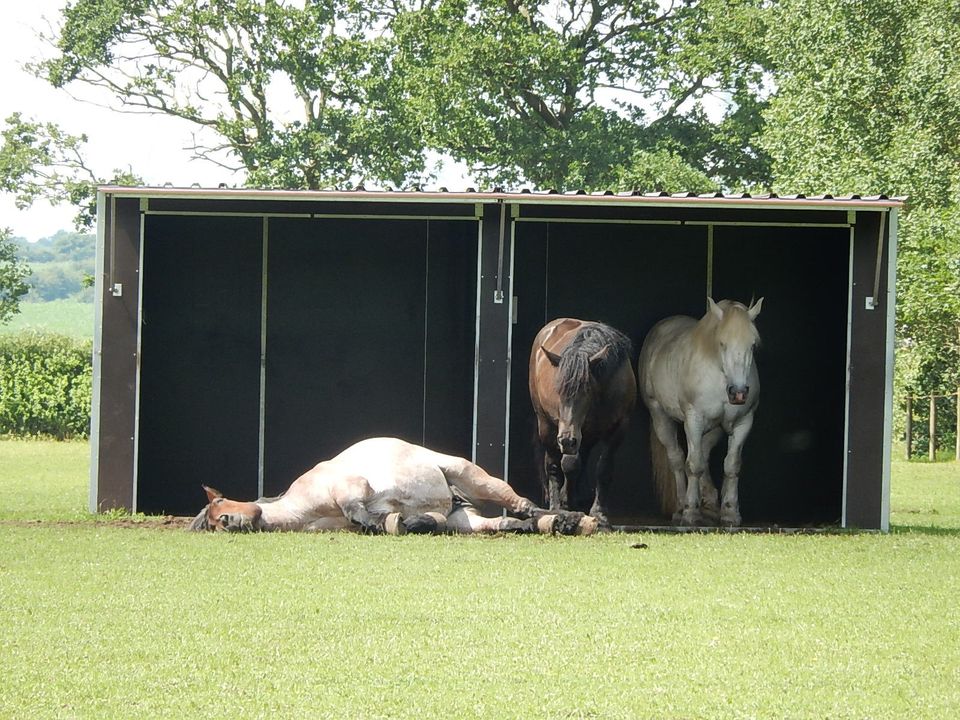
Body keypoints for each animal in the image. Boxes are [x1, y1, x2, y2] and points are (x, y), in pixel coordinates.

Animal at [188, 434, 596, 536]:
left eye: (219, 506)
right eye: (211, 524)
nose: (229, 522)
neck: (304, 507)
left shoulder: (349, 486)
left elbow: (358, 510)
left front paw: (385, 521)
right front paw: (400, 522)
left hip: (468, 474)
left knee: (523, 504)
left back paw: (573, 519)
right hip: (463, 519)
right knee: (502, 522)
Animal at [524, 318, 636, 524]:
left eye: (587, 390)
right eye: (558, 390)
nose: (566, 440)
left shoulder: (618, 429)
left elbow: (603, 468)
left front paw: (599, 513)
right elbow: (569, 465)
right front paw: (565, 503)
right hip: (547, 426)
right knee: (553, 465)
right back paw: (556, 506)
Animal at [636, 296, 764, 524]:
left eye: (752, 344)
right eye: (722, 343)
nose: (739, 393)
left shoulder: (743, 422)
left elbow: (732, 465)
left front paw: (730, 512)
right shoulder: (693, 420)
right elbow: (693, 465)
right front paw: (690, 512)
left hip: (715, 429)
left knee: (704, 453)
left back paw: (710, 505)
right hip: (660, 417)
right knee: (677, 460)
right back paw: (680, 507)